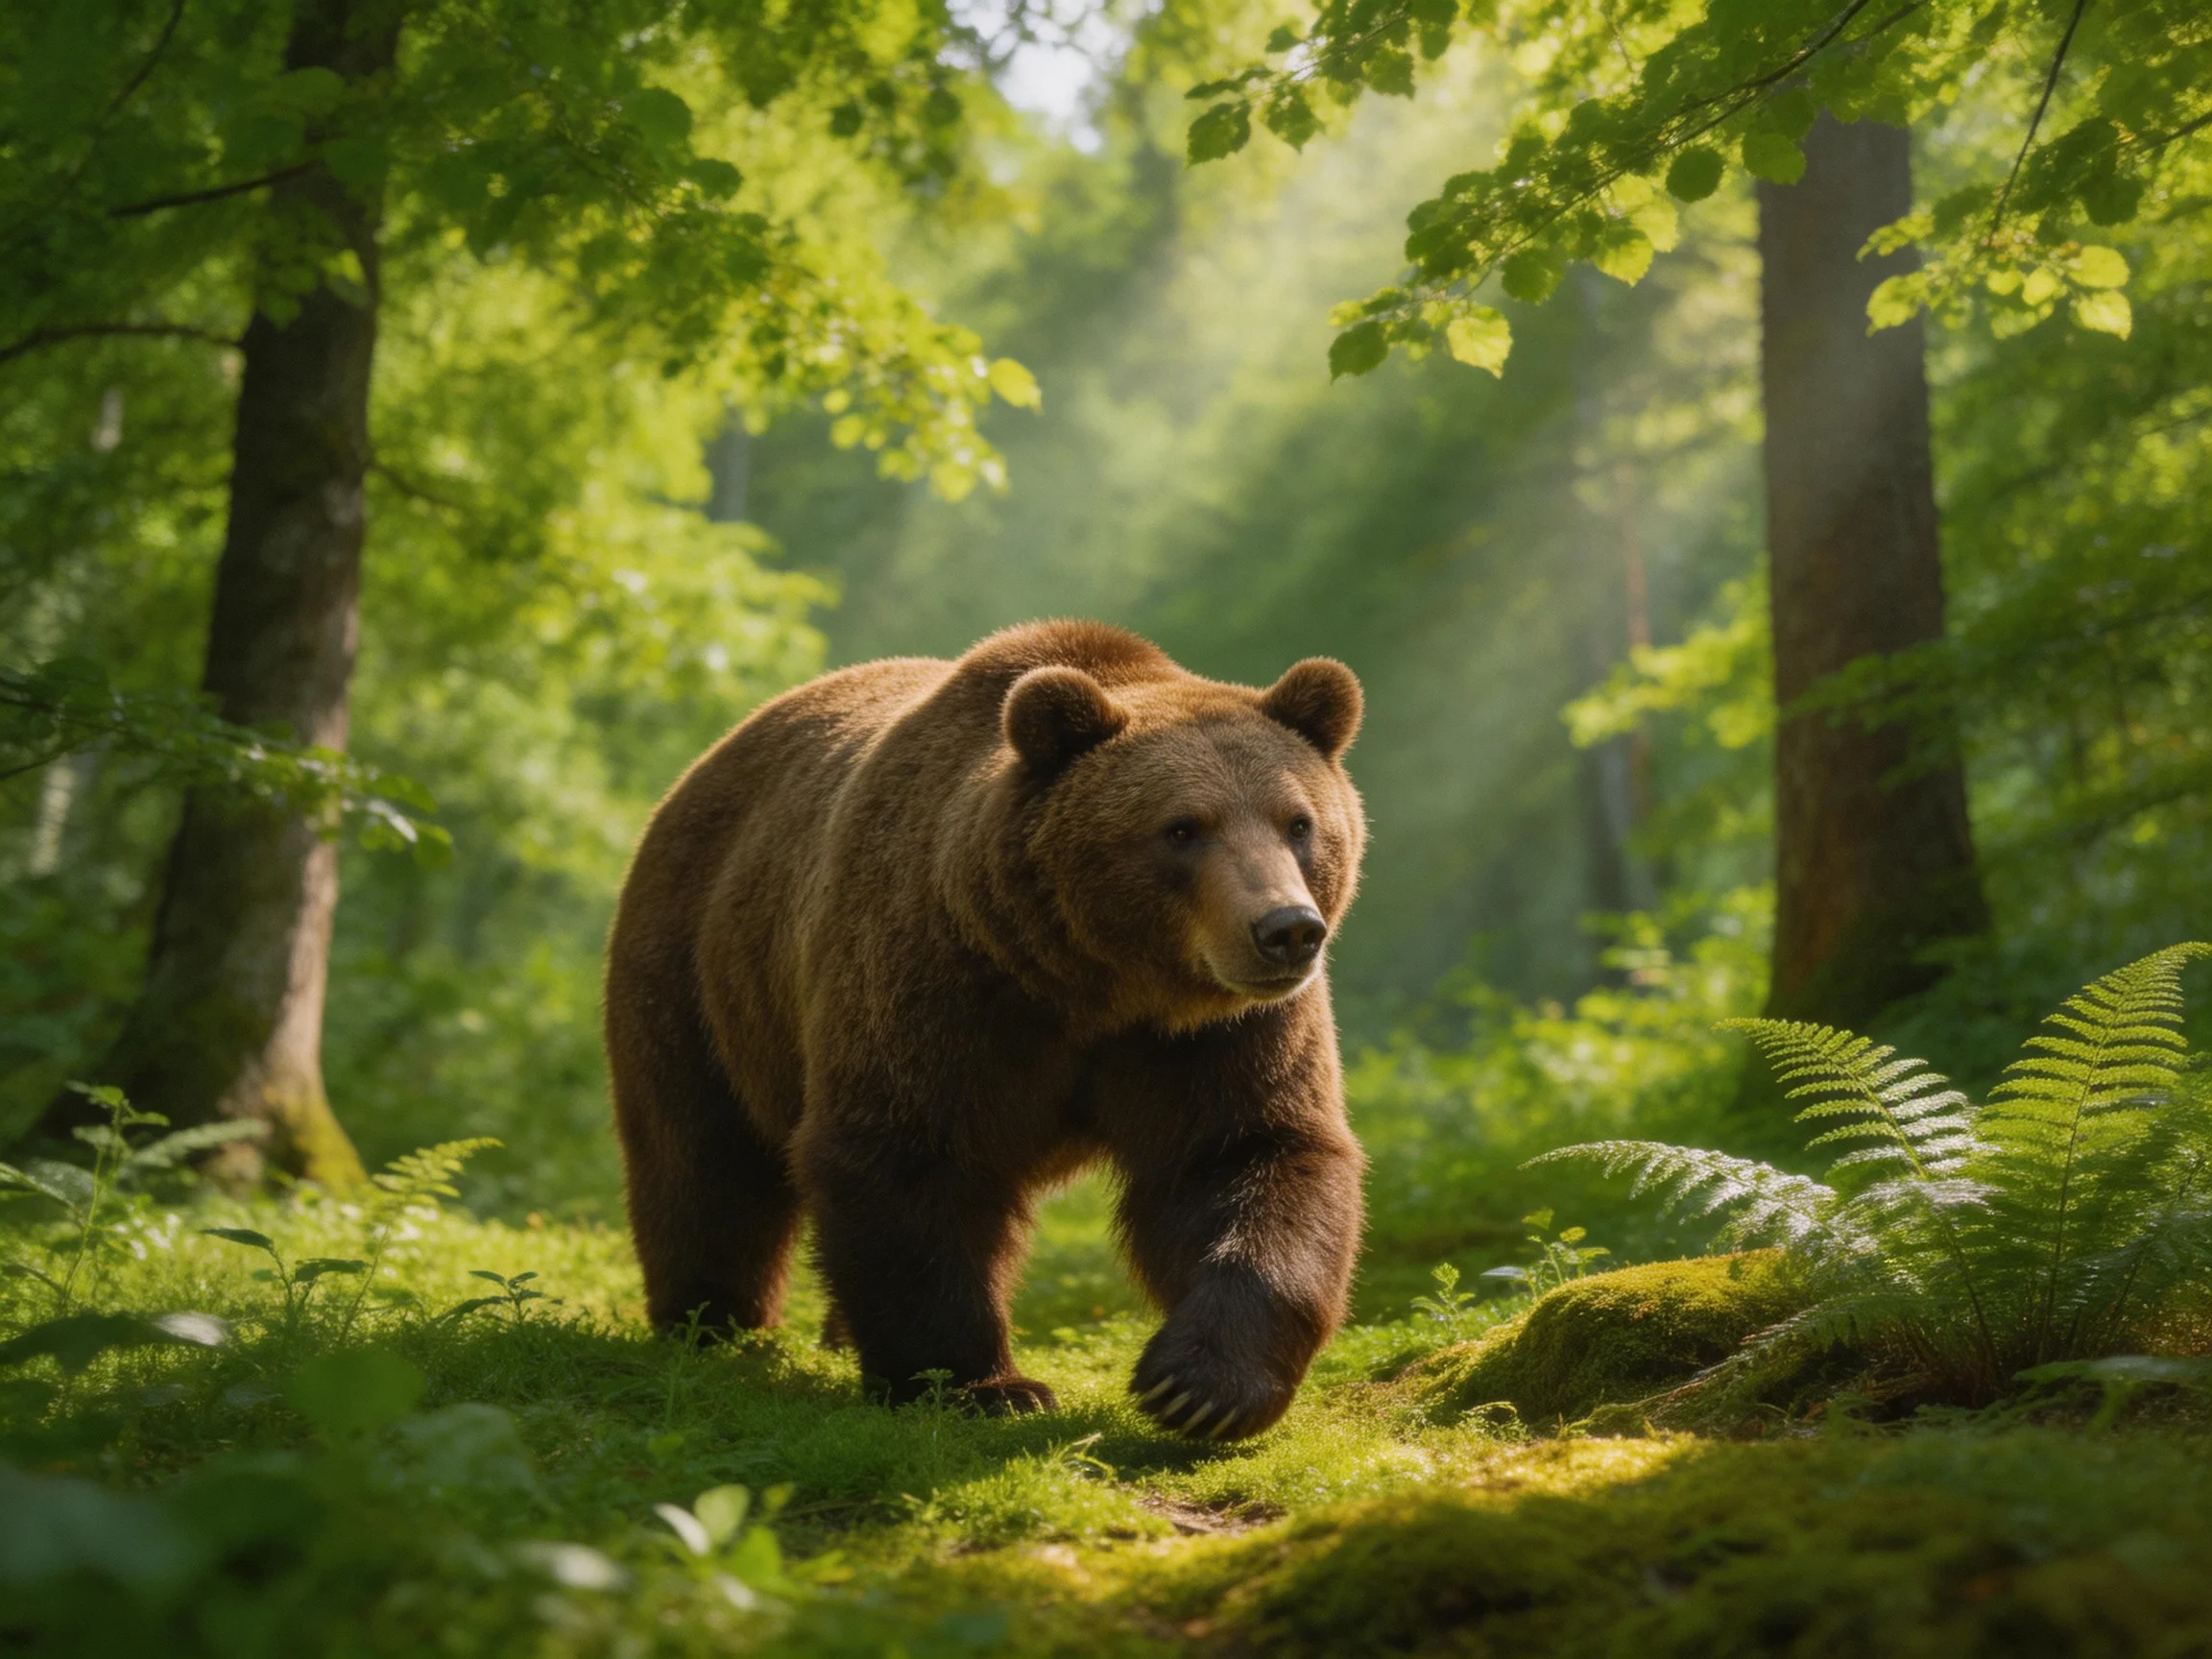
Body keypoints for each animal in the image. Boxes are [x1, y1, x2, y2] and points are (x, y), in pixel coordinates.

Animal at [604, 619, 1367, 1440]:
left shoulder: (1218, 1035)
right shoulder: (943, 983)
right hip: (700, 968)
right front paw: (980, 1384)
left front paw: (1200, 1385)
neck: (1095, 983)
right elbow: (912, 1159)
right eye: (1183, 828)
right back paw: (712, 1320)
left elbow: (1248, 1156)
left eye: (1299, 823)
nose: (1286, 930)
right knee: (702, 1158)